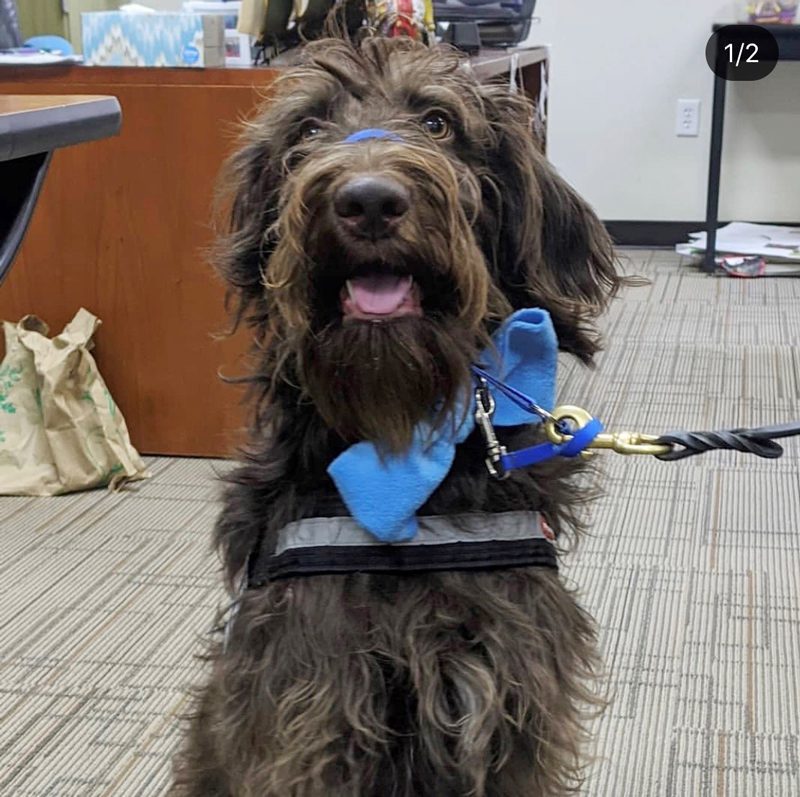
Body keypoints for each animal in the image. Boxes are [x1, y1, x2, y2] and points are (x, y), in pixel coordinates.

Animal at [173, 31, 624, 796]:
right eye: (307, 130)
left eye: (438, 122)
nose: (369, 201)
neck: (398, 444)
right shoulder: (308, 703)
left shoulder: (511, 693)